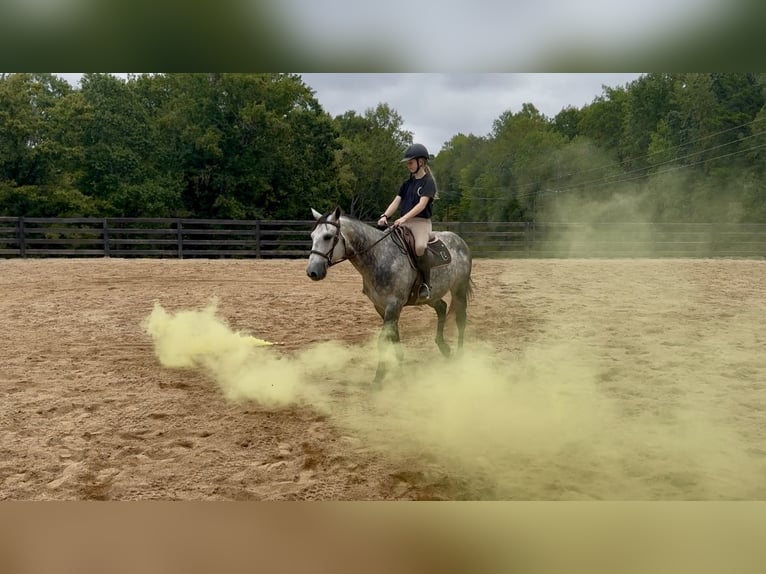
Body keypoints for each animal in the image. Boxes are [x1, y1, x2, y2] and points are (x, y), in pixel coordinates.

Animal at [306, 206, 474, 384]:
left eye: (328, 236)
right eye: (312, 236)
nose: (312, 272)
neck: (380, 257)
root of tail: (459, 240)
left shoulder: (393, 306)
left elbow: (383, 341)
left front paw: (379, 377)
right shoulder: (382, 307)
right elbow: (393, 336)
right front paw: (400, 366)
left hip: (459, 289)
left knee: (461, 319)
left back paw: (460, 355)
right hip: (432, 296)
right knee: (442, 308)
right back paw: (444, 347)